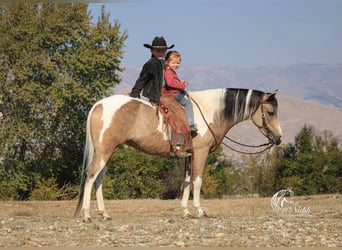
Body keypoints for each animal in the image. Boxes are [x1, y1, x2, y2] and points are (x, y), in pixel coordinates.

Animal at [75, 88, 284, 223]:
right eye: (270, 112)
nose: (279, 138)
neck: (210, 111)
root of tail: (98, 105)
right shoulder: (200, 153)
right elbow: (197, 181)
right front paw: (199, 211)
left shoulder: (189, 156)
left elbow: (186, 181)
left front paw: (185, 211)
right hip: (104, 151)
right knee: (91, 176)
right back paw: (86, 215)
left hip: (109, 152)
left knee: (99, 179)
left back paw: (104, 214)